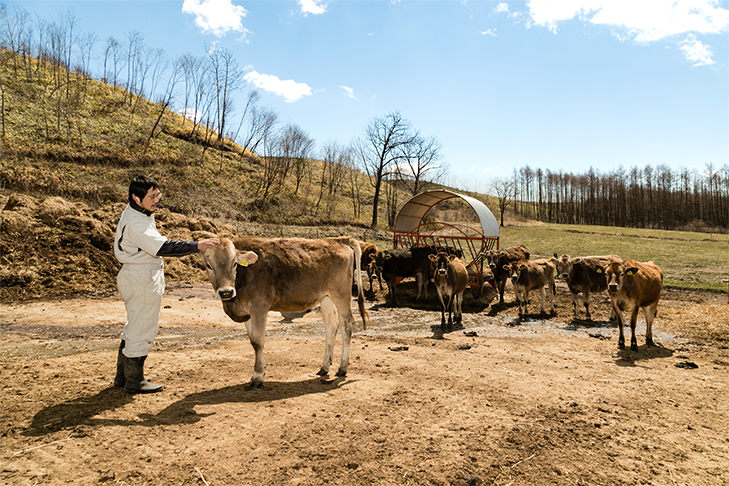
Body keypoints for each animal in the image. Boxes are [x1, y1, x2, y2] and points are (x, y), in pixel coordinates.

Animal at [200, 235, 366, 388]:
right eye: (209, 265)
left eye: (234, 263)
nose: (226, 292)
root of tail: (337, 239)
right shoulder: (247, 312)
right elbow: (253, 341)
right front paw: (260, 371)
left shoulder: (259, 307)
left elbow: (258, 341)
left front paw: (258, 377)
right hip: (326, 298)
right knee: (331, 326)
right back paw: (324, 367)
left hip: (341, 294)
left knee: (346, 325)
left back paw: (342, 368)